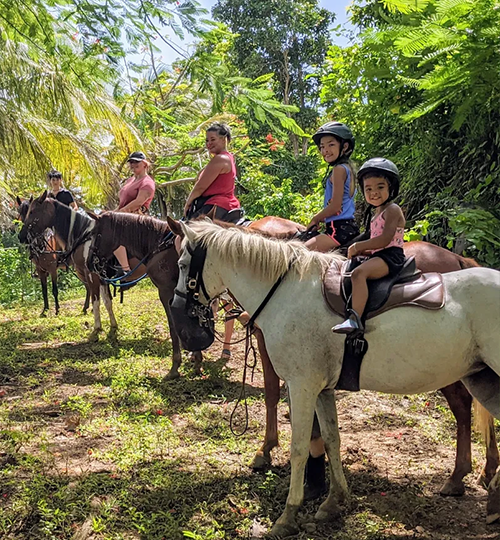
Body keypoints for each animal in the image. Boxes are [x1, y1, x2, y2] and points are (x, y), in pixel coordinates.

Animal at [18, 192, 116, 340]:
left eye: (32, 211)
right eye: (19, 213)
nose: (22, 236)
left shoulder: (55, 269)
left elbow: (55, 290)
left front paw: (58, 310)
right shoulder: (41, 271)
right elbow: (44, 291)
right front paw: (45, 310)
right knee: (87, 288)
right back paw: (85, 308)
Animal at [169, 217, 500, 536]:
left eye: (183, 264)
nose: (176, 307)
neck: (286, 293)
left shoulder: (301, 386)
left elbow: (299, 447)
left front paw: (288, 516)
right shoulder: (322, 390)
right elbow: (331, 440)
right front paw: (334, 501)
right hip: (482, 380)